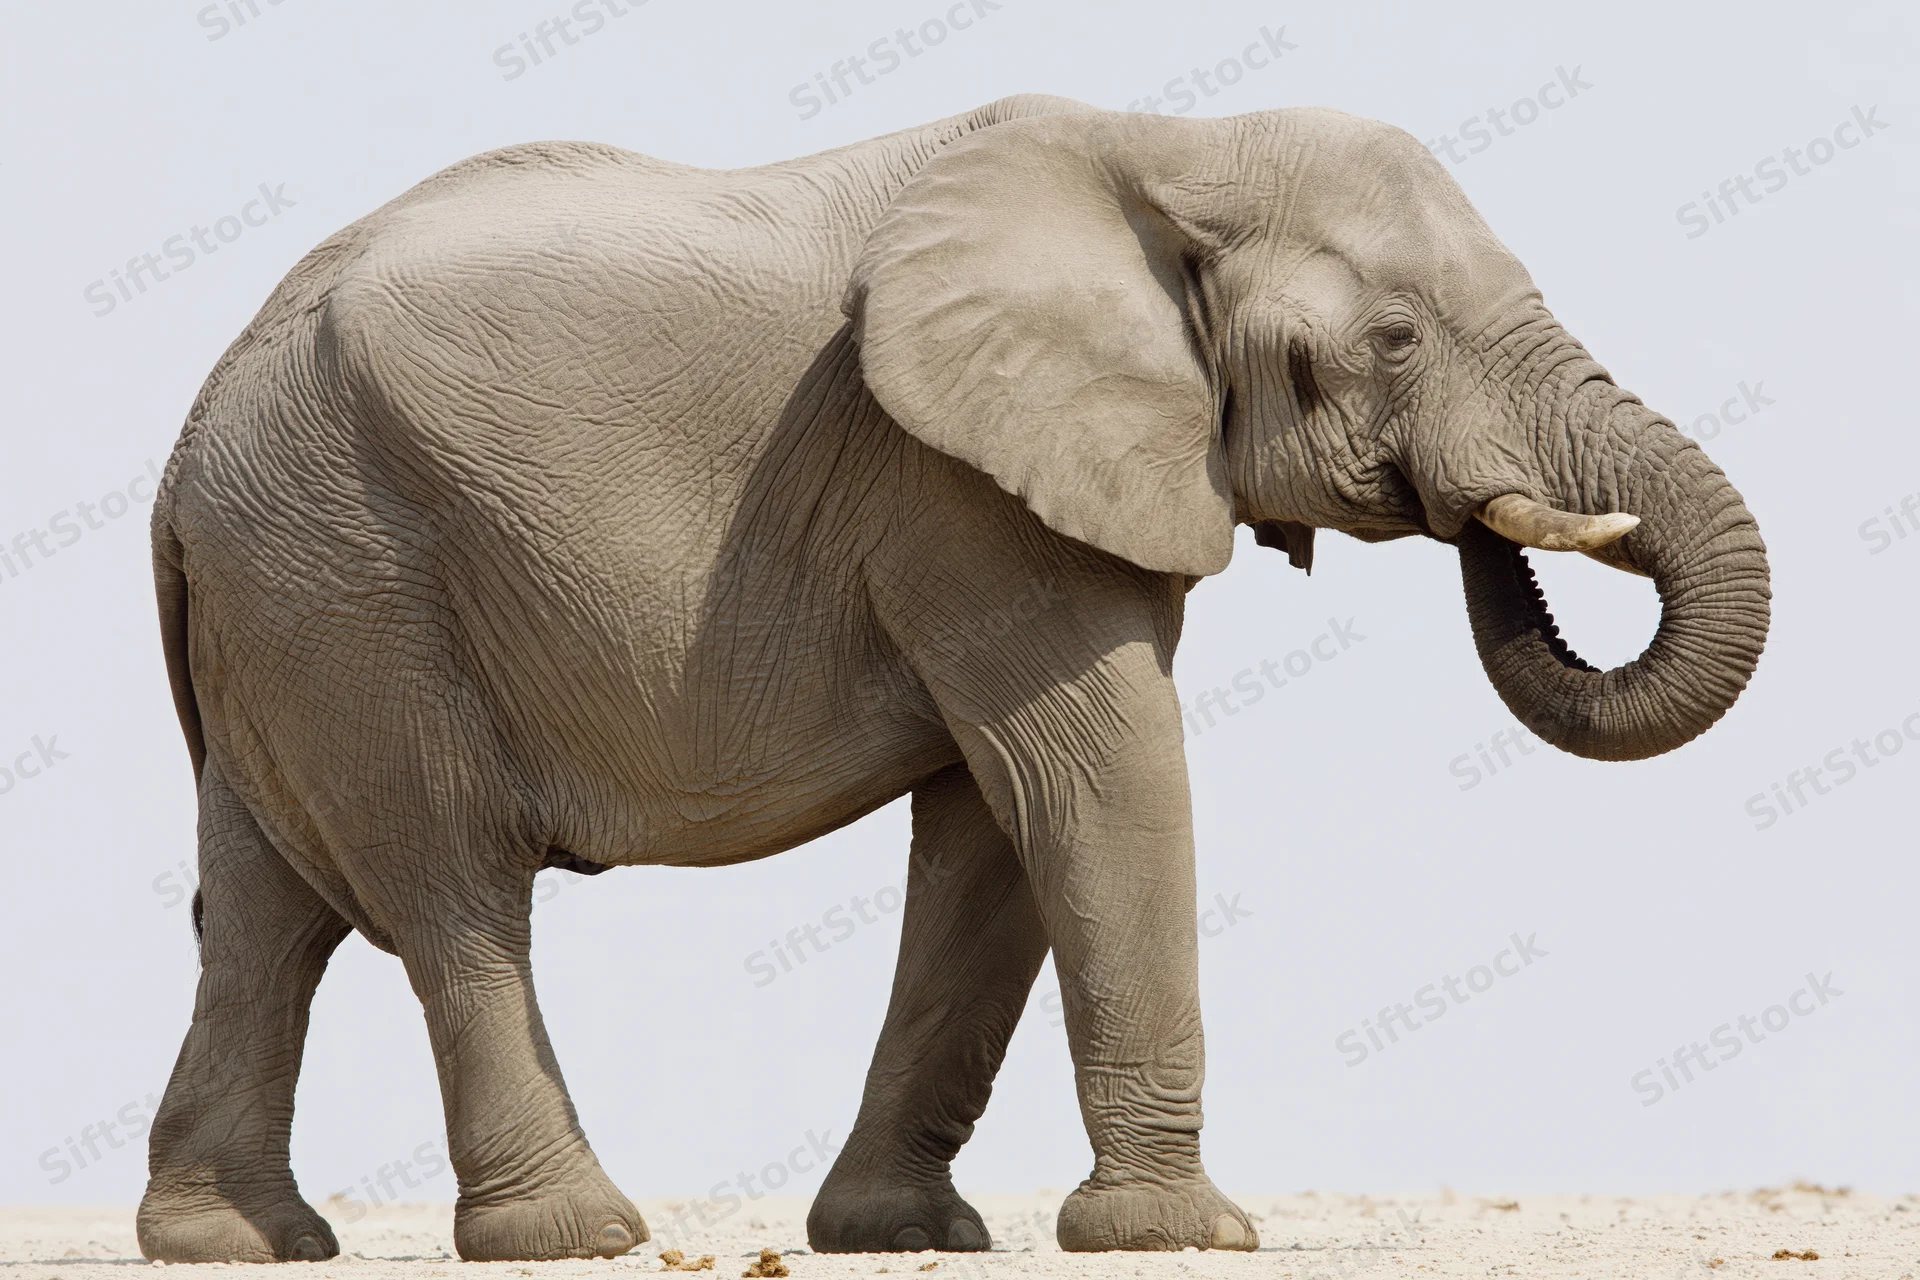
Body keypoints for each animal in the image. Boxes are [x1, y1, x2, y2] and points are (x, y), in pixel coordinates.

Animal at [137, 92, 1770, 1263]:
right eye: (1394, 336)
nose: (1475, 513)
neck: (1165, 142)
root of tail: (194, 426)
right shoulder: (957, 490)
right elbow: (1097, 775)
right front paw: (1183, 1235)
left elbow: (994, 833)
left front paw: (901, 1235)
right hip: (351, 572)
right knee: (450, 892)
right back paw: (571, 1234)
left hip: (280, 585)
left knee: (267, 916)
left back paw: (235, 1242)